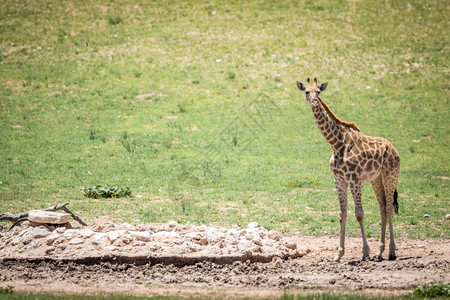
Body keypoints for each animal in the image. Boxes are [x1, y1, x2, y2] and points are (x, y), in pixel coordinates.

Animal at [296, 78, 400, 262]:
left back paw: (391, 252)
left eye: (318, 92)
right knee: (382, 208)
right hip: (376, 179)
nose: (314, 101)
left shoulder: (354, 178)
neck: (336, 144)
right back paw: (379, 252)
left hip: (390, 176)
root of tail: (394, 150)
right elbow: (342, 215)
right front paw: (338, 254)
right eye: (307, 91)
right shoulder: (339, 180)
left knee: (388, 208)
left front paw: (365, 252)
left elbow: (359, 213)